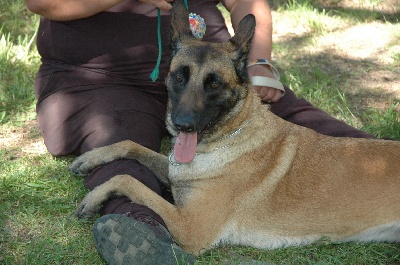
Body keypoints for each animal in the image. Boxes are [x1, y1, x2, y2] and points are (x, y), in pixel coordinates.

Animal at [70, 0, 400, 256]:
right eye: (179, 76)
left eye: (214, 84)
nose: (181, 125)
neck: (231, 135)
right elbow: (131, 145)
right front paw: (92, 158)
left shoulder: (191, 227)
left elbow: (127, 179)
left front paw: (94, 196)